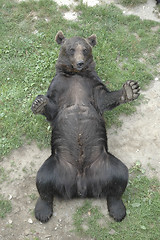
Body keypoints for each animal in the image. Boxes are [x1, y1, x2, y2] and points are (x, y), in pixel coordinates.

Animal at [31, 30, 140, 223]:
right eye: (71, 49)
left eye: (85, 49)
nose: (80, 63)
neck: (75, 75)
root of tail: (81, 186)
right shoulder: (58, 86)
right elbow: (51, 107)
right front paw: (38, 103)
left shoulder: (92, 85)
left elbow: (104, 98)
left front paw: (130, 89)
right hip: (57, 164)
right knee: (43, 180)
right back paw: (43, 211)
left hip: (104, 164)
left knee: (120, 176)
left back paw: (118, 210)